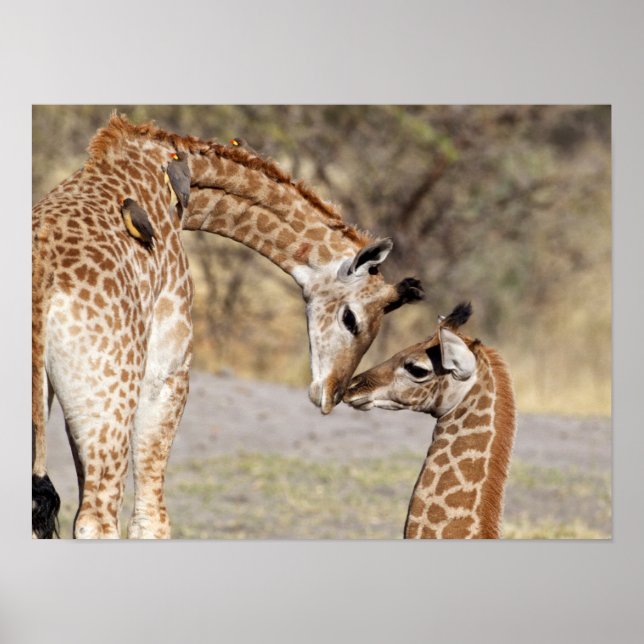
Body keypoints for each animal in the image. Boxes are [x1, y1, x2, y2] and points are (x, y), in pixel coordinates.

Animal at [32, 113, 424, 538]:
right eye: (351, 318)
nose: (330, 395)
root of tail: (42, 286)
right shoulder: (167, 372)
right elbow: (152, 520)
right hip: (110, 400)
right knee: (98, 520)